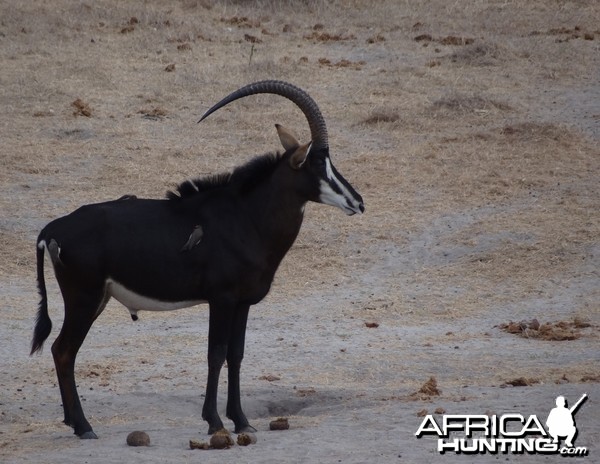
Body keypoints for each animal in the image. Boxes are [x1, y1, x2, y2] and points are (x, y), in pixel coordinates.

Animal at [30, 80, 364, 438]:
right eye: (316, 166)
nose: (357, 202)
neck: (247, 217)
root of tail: (53, 228)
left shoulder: (242, 303)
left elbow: (236, 354)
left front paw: (242, 420)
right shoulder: (222, 299)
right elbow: (215, 354)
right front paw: (214, 421)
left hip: (97, 299)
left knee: (61, 350)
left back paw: (73, 421)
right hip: (84, 298)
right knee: (64, 350)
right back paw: (83, 426)